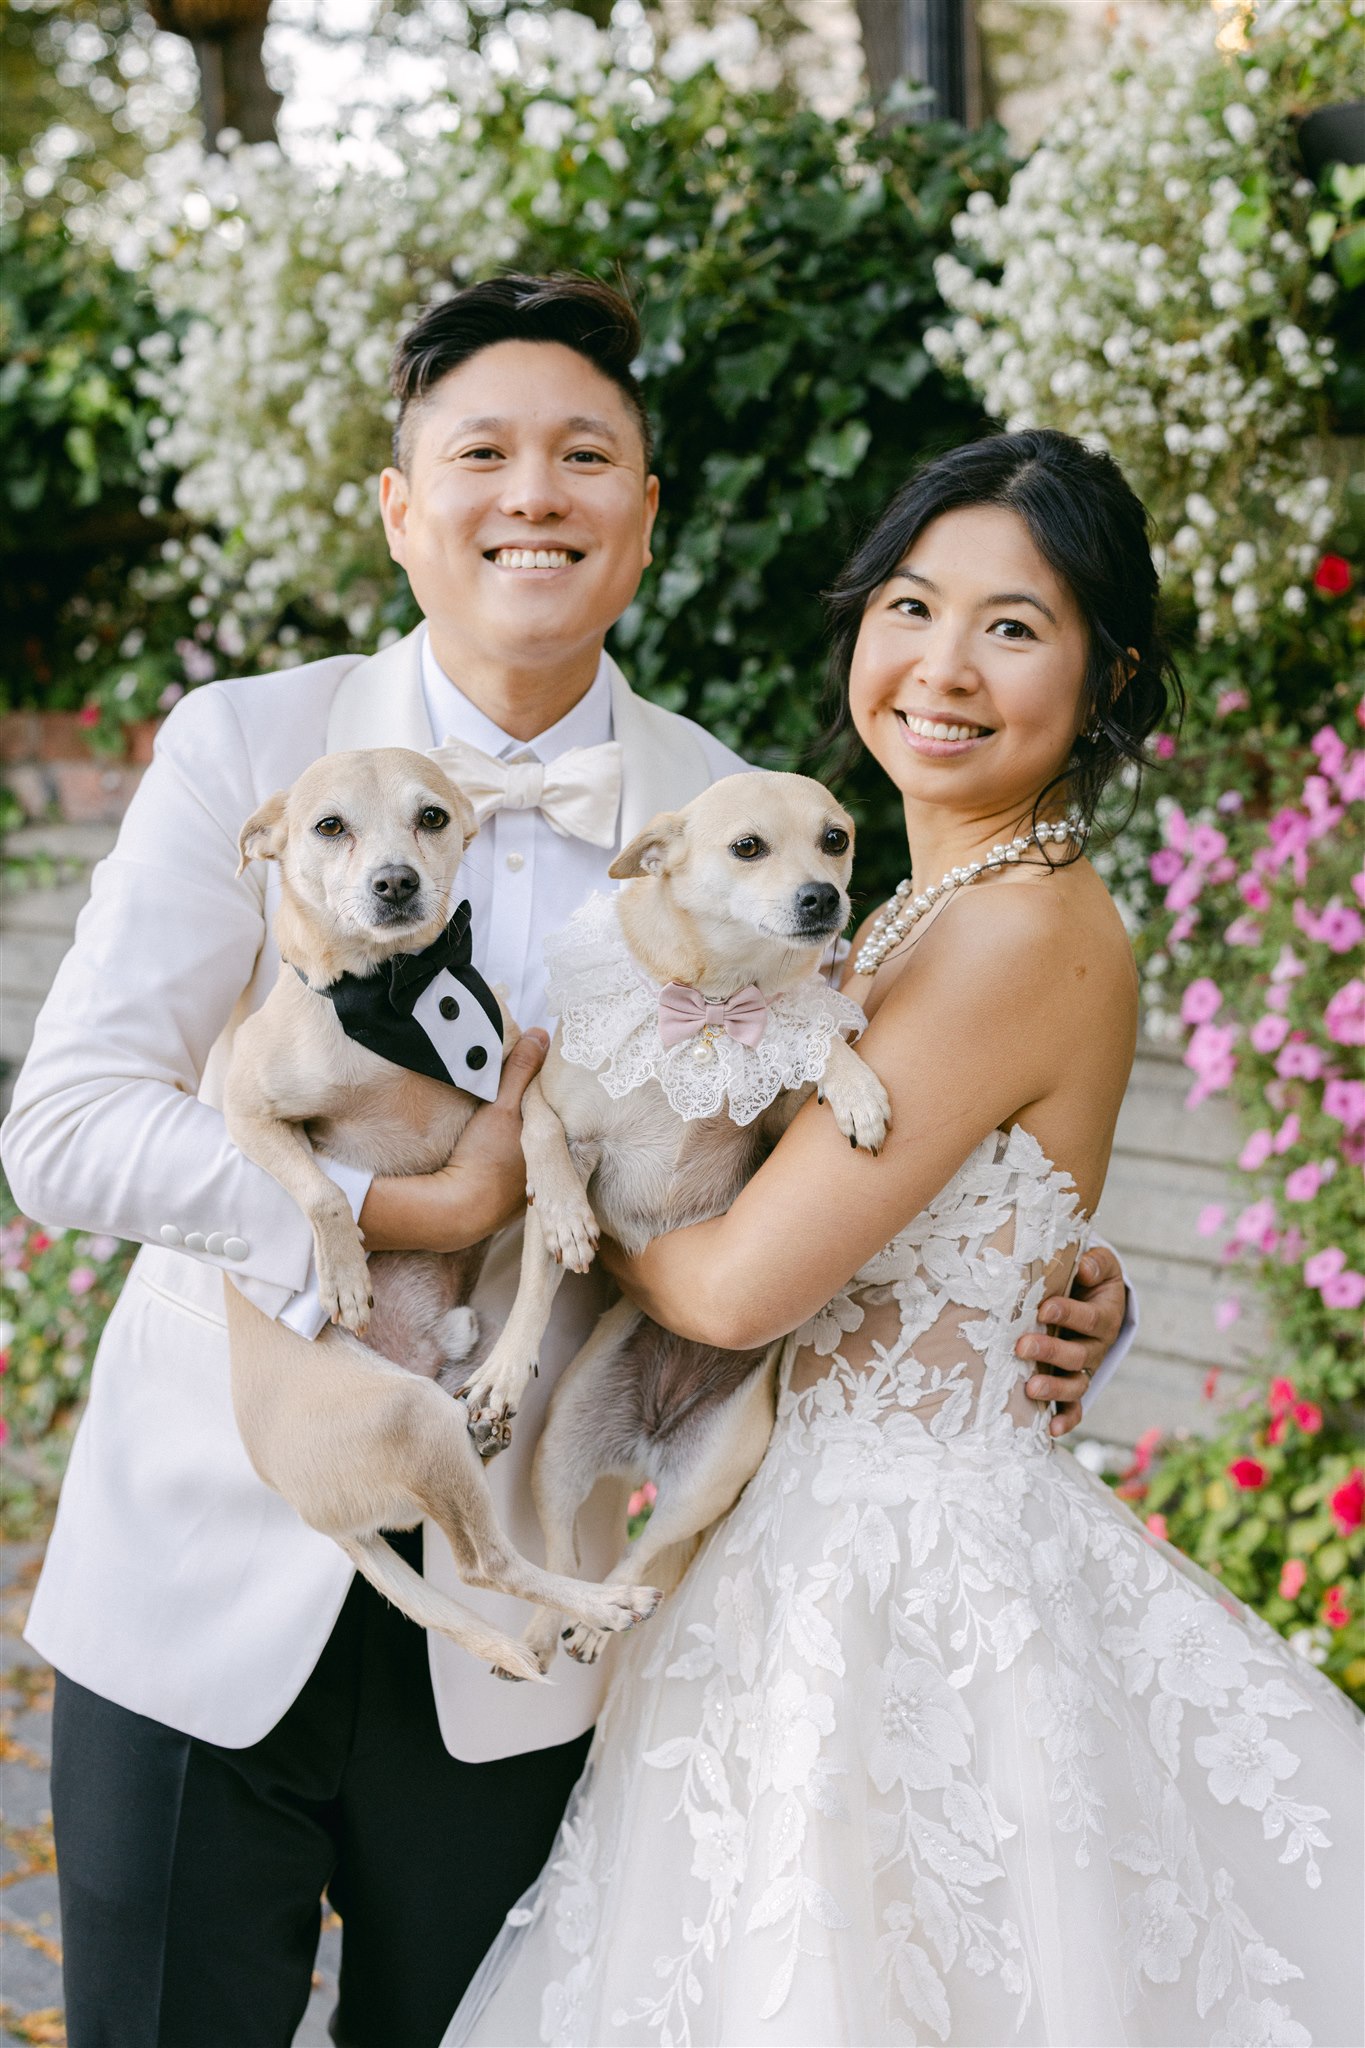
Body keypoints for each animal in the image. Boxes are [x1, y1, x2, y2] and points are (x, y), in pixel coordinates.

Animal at [223, 753, 663, 1679]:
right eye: (328, 827)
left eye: (430, 818)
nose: (396, 882)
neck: (393, 1001)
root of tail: (319, 1519)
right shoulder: (244, 1112)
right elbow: (322, 1189)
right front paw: (345, 1277)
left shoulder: (517, 1071)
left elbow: (538, 1129)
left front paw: (562, 1211)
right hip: (410, 1421)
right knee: (483, 1562)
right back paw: (601, 1603)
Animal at [454, 770, 892, 1679]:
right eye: (748, 847)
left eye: (835, 839)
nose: (823, 897)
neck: (715, 1006)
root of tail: (648, 1444)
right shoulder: (560, 1121)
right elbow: (543, 1197)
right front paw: (517, 1341)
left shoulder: (774, 1128)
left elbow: (812, 1046)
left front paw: (856, 1087)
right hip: (560, 1448)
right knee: (562, 1554)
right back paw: (548, 1629)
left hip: (706, 1478)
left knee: (636, 1557)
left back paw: (595, 1624)